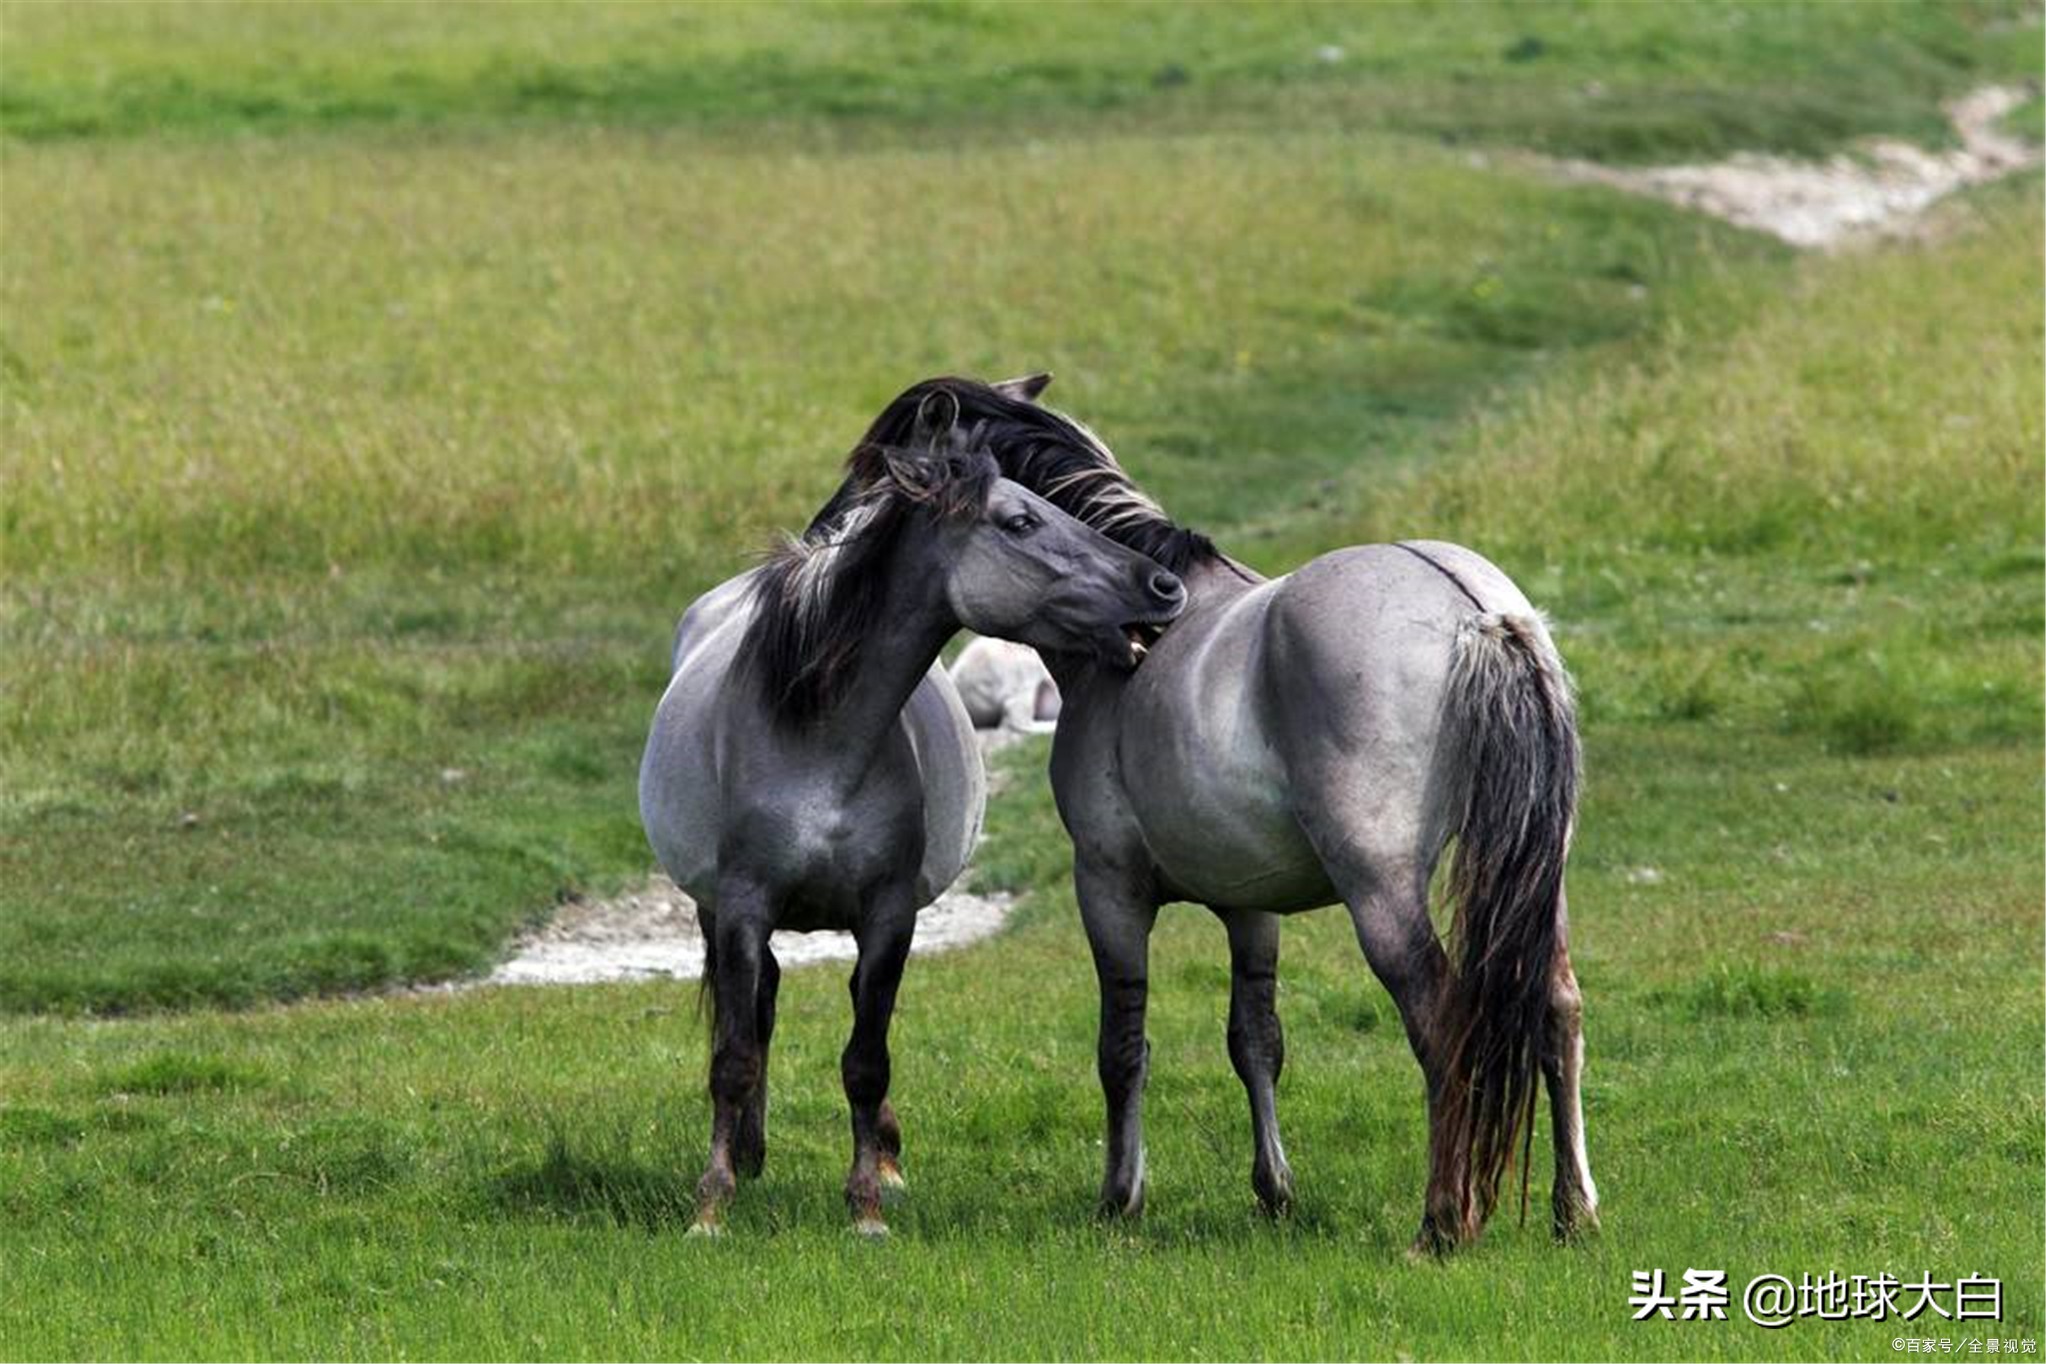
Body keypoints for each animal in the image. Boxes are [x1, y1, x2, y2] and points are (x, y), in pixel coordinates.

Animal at [638, 386, 1186, 1235]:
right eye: (1020, 521)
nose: (1163, 586)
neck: (817, 735)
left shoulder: (889, 915)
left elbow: (868, 1059)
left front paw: (865, 1203)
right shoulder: (740, 906)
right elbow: (733, 1055)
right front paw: (712, 1202)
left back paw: (879, 1161)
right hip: (713, 909)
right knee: (756, 1007)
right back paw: (750, 1154)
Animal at [852, 376, 1596, 1255]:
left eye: (884, 474)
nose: (833, 540)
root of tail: (1477, 613)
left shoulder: (1108, 887)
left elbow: (1123, 1048)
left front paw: (1120, 1198)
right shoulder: (1250, 905)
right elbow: (1256, 1042)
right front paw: (1274, 1193)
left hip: (1382, 892)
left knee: (1443, 1022)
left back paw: (1442, 1223)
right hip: (1538, 878)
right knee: (1555, 1008)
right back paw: (1572, 1211)